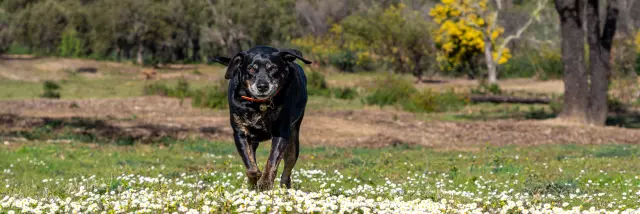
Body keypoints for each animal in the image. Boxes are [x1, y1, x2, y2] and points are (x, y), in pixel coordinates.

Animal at [214, 46, 312, 190]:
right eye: (251, 69)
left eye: (273, 68)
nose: (262, 86)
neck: (259, 104)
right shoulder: (240, 132)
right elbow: (250, 166)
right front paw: (254, 179)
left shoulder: (281, 132)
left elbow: (272, 161)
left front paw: (264, 183)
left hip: (293, 142)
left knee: (287, 170)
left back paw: (284, 187)